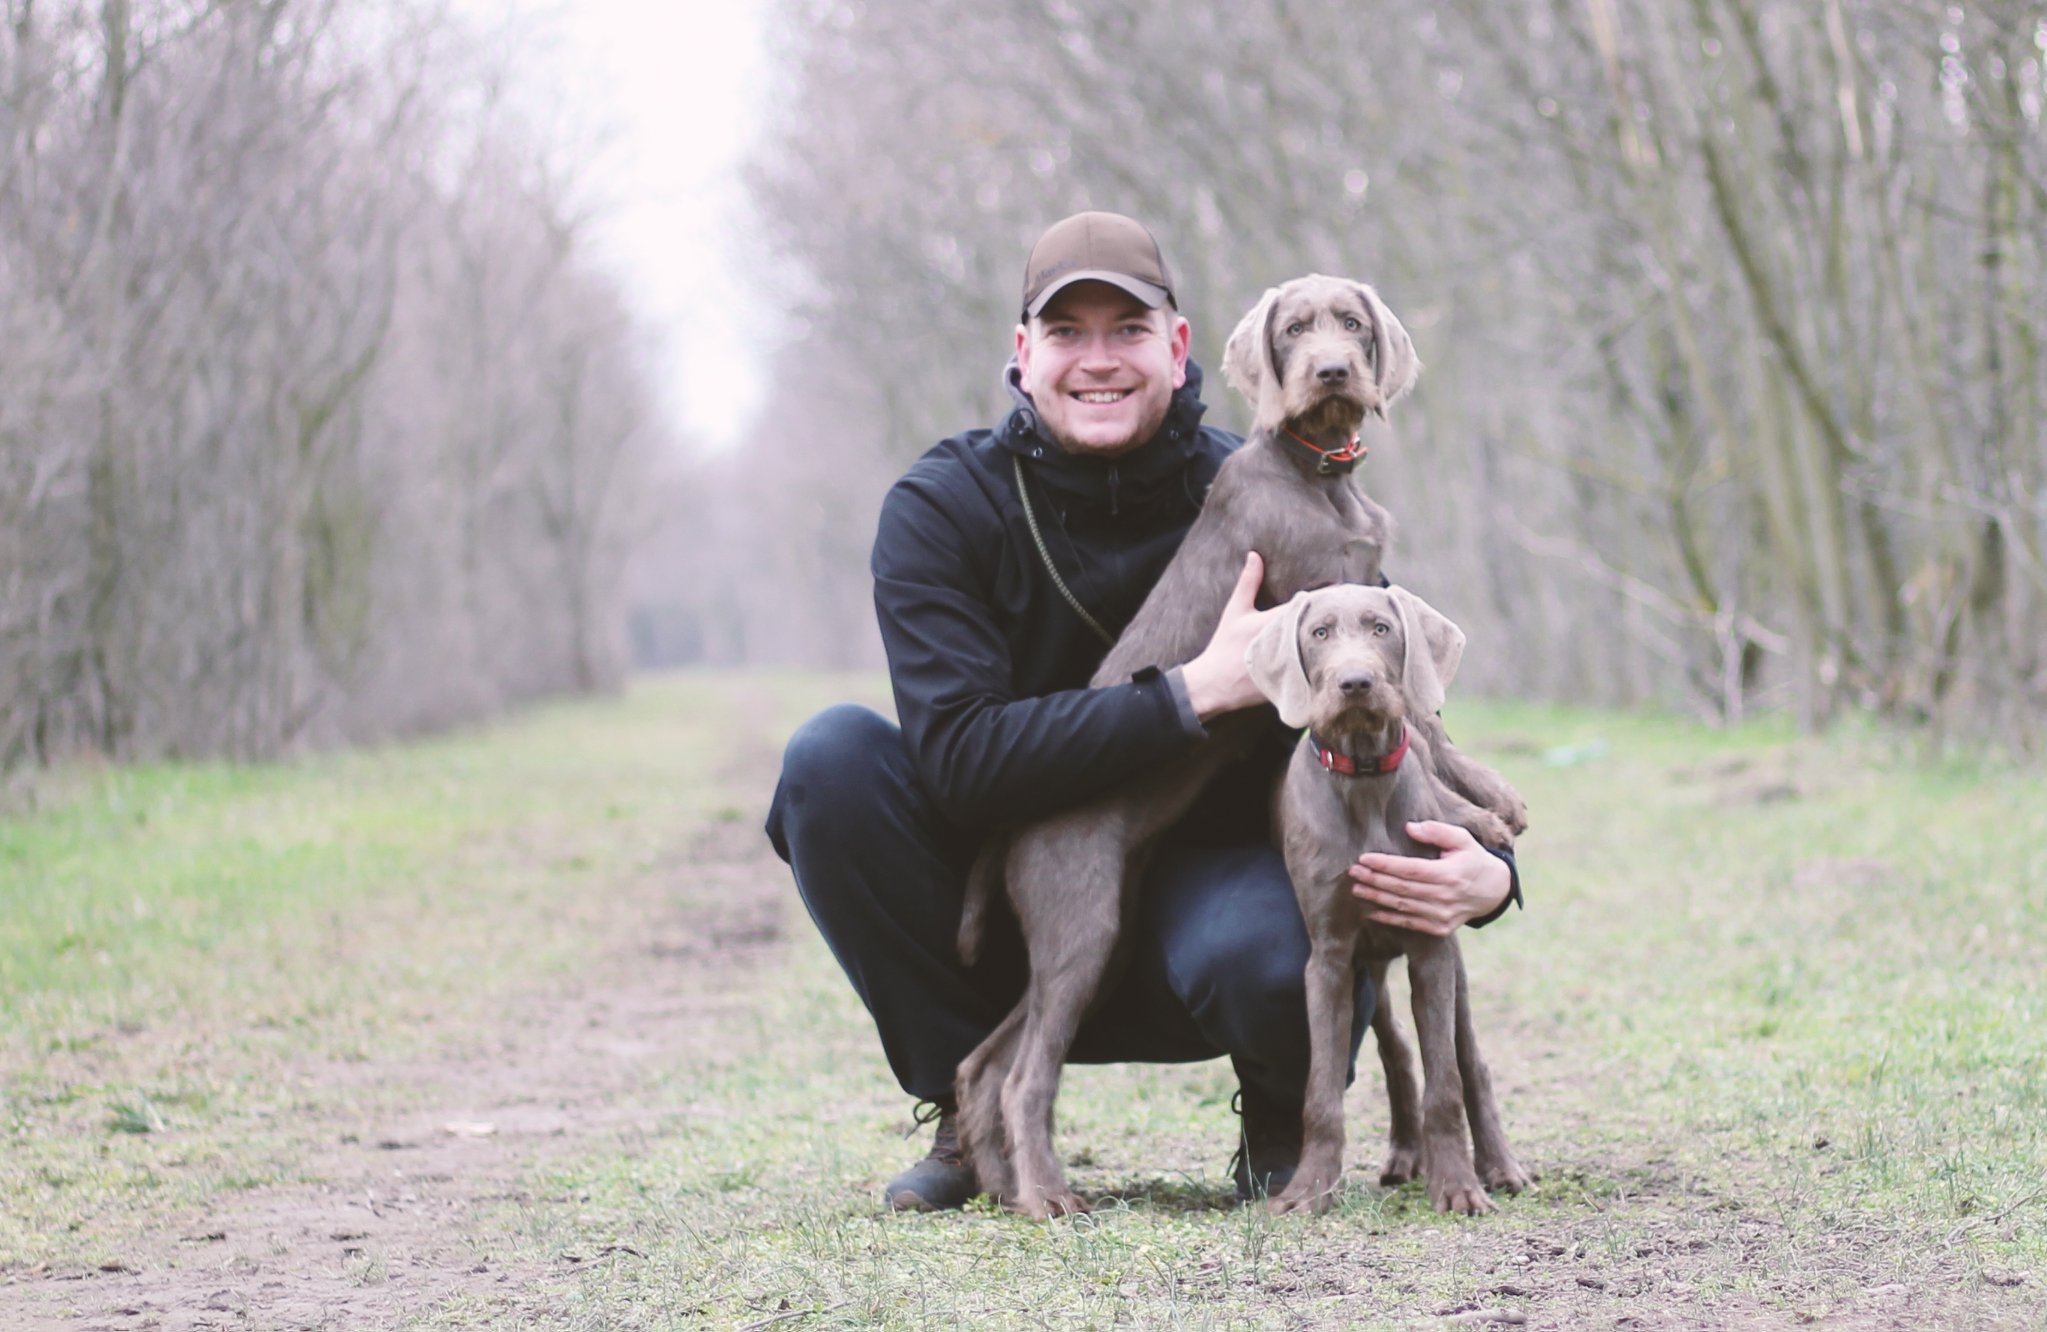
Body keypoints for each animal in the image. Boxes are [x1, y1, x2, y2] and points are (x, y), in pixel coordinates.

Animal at [1244, 585, 1539, 1219]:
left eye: (1381, 628)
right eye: (1320, 634)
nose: (1355, 682)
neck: (1363, 777)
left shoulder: (1431, 947)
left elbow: (1447, 1083)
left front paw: (1458, 1185)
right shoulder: (1329, 956)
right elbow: (1322, 1089)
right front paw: (1309, 1189)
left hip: (1446, 958)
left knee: (1469, 1061)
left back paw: (1499, 1165)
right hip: (1369, 966)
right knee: (1396, 1051)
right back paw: (1406, 1152)